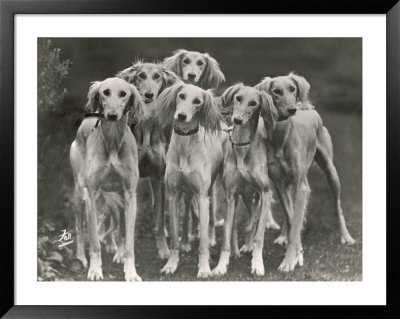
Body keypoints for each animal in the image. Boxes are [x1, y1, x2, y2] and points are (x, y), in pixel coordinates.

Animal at [70, 78, 147, 282]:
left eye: (123, 94)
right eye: (105, 92)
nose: (112, 115)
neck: (112, 140)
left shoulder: (129, 194)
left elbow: (128, 240)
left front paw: (131, 272)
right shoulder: (92, 194)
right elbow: (94, 241)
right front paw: (95, 270)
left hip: (116, 194)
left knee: (117, 220)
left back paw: (116, 249)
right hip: (79, 193)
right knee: (80, 228)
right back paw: (81, 257)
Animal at [116, 60, 180, 260]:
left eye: (157, 76)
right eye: (141, 75)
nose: (149, 94)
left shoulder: (158, 177)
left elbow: (159, 219)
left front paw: (164, 250)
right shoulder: (127, 178)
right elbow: (124, 221)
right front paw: (121, 251)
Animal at [155, 84, 225, 278]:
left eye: (197, 102)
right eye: (181, 96)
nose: (181, 116)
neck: (185, 144)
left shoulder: (201, 196)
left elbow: (202, 241)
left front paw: (204, 268)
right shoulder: (173, 195)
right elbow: (173, 238)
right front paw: (171, 264)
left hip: (213, 189)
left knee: (211, 218)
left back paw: (211, 238)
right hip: (186, 194)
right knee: (186, 215)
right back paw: (186, 241)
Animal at [214, 84, 276, 276]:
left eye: (253, 103)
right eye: (238, 98)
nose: (237, 120)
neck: (242, 146)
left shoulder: (265, 192)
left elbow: (259, 236)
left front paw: (257, 264)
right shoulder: (230, 195)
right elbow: (226, 234)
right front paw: (221, 265)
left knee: (255, 219)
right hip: (246, 195)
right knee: (244, 220)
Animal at [255, 72, 354, 248]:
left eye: (292, 89)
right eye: (277, 91)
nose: (292, 109)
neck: (281, 137)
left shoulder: (299, 183)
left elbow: (295, 216)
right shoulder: (280, 185)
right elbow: (290, 216)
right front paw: (293, 243)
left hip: (330, 172)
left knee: (338, 207)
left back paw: (346, 236)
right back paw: (285, 235)